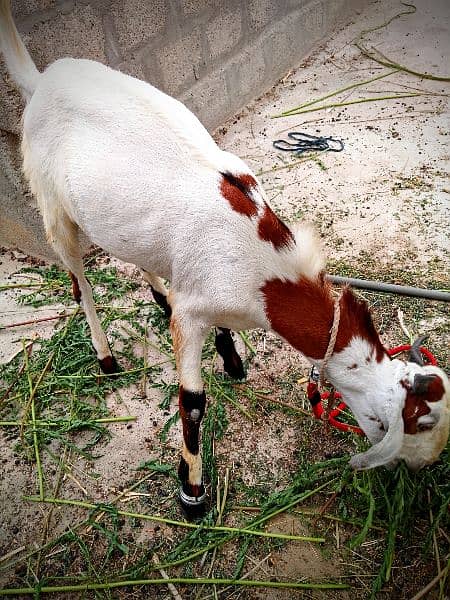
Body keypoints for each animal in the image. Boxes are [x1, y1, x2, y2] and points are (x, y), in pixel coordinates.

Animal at [1, 0, 448, 512]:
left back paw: (159, 297)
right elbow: (192, 401)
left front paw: (232, 359)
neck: (263, 271)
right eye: (411, 425)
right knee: (79, 282)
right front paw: (191, 492)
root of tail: (42, 80)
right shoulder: (193, 315)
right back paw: (105, 357)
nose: (418, 476)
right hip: (53, 208)